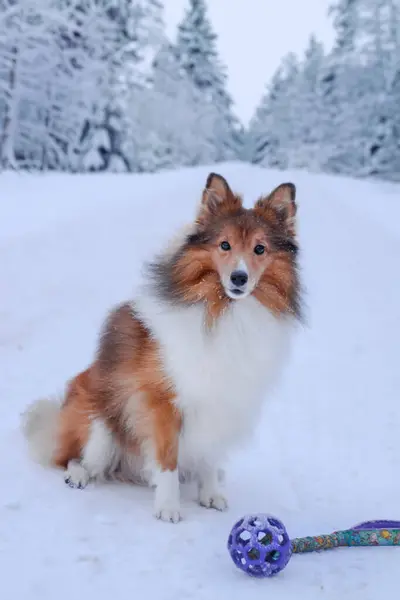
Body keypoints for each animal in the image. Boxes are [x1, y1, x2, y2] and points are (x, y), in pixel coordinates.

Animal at [21, 171, 302, 524]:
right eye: (224, 245)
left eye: (260, 249)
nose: (239, 278)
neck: (223, 311)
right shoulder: (162, 402)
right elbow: (167, 458)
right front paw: (168, 507)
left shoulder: (222, 402)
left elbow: (210, 452)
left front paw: (210, 493)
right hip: (100, 424)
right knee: (71, 458)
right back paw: (79, 475)